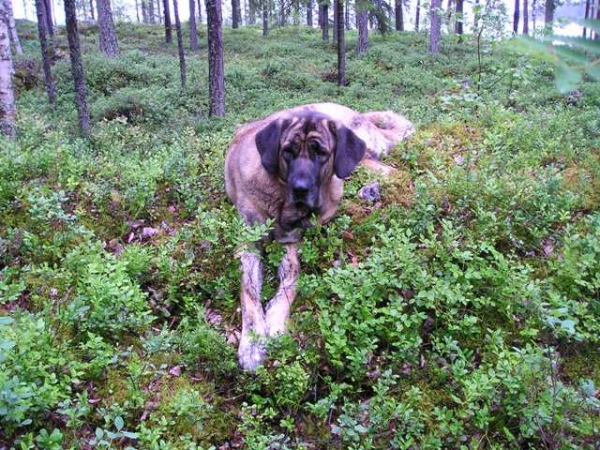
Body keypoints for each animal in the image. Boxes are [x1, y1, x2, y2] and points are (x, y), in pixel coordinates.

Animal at [224, 103, 412, 370]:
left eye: (320, 152)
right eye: (287, 151)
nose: (301, 188)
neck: (281, 201)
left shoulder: (290, 244)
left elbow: (291, 284)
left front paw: (275, 321)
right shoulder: (248, 243)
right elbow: (248, 293)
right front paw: (252, 342)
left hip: (349, 167)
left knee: (394, 173)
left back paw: (370, 189)